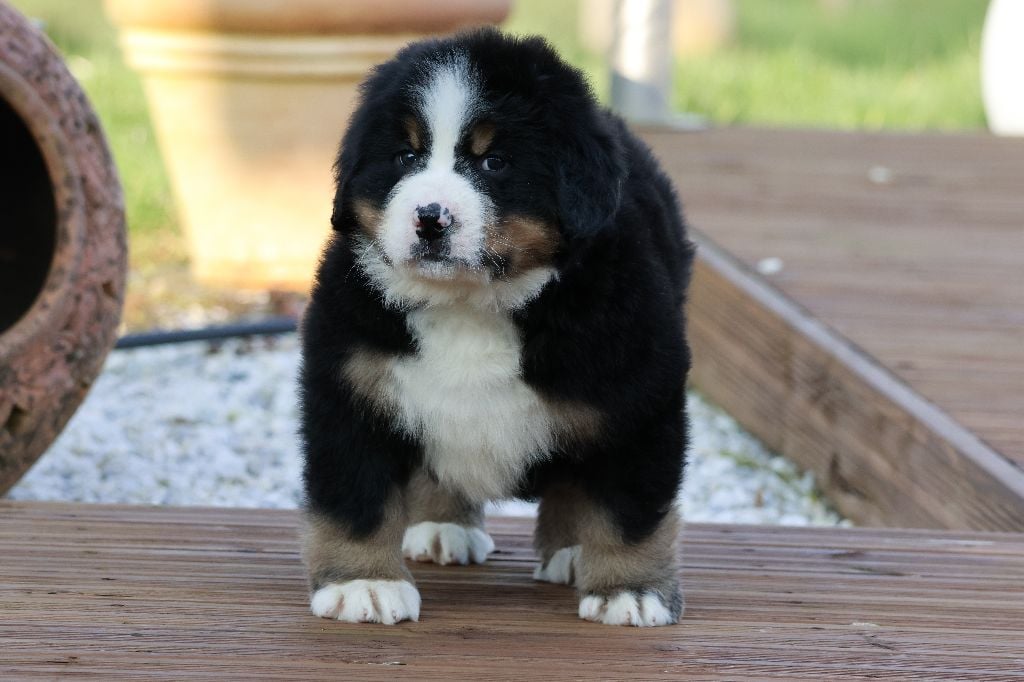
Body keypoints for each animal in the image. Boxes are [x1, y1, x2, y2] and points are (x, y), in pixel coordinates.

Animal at [299, 27, 692, 626]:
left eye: (494, 163)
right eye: (405, 156)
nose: (430, 217)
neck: (469, 305)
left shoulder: (637, 400)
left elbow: (630, 510)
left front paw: (631, 589)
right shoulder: (350, 386)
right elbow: (355, 496)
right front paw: (363, 583)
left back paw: (572, 551)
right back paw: (444, 525)